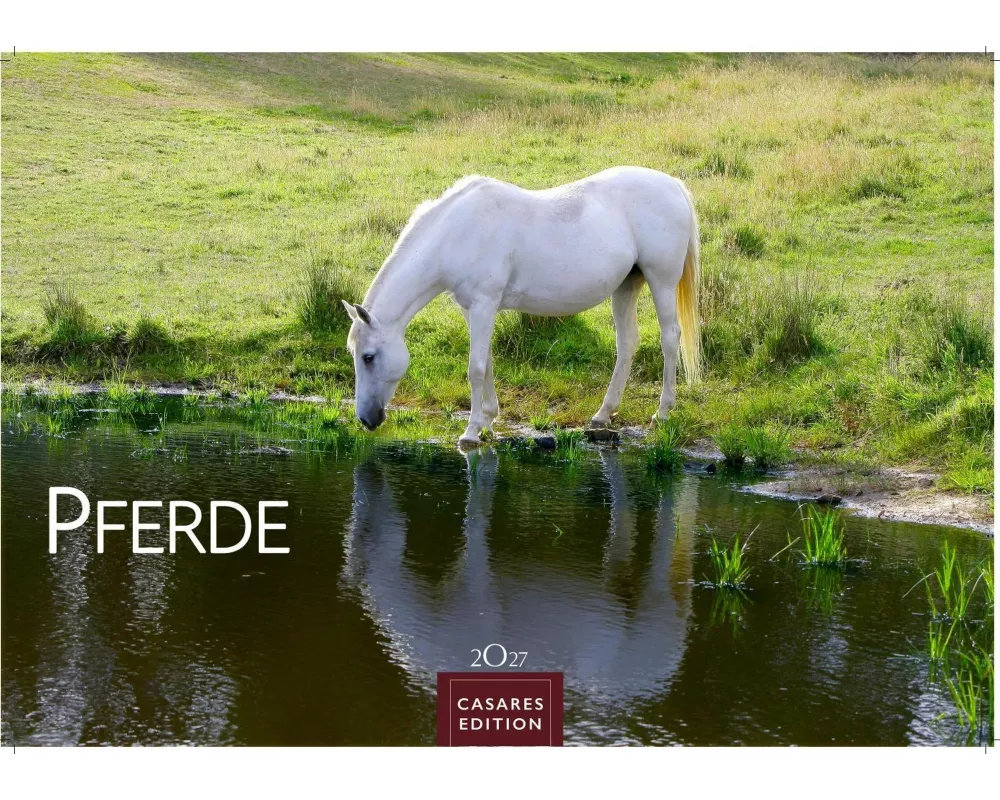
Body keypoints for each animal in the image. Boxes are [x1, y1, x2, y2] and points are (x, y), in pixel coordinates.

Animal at [342, 165, 702, 447]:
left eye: (368, 357)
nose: (366, 419)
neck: (456, 232)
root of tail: (673, 184)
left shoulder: (484, 304)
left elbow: (475, 368)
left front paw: (470, 432)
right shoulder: (472, 308)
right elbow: (486, 361)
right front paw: (488, 419)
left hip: (661, 281)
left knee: (669, 338)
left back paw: (662, 412)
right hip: (627, 286)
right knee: (627, 343)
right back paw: (603, 414)